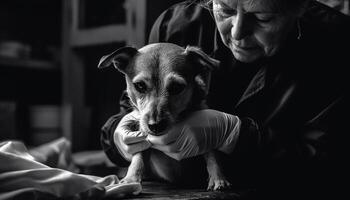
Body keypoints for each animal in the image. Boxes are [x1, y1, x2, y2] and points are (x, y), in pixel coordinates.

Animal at [97, 42, 231, 191]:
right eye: (140, 86)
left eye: (177, 87)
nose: (155, 126)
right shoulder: (142, 135)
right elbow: (139, 154)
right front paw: (131, 178)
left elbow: (211, 153)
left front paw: (218, 177)